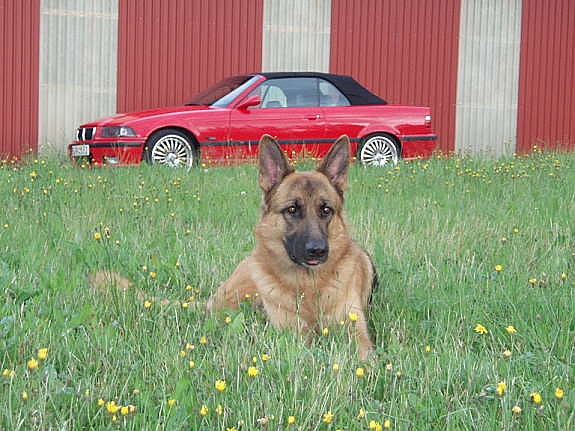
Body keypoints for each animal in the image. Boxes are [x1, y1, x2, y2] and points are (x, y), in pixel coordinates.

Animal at [207, 134, 377, 360]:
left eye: (326, 210)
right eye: (292, 209)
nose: (317, 250)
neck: (309, 285)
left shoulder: (356, 330)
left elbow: (364, 354)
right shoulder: (293, 334)